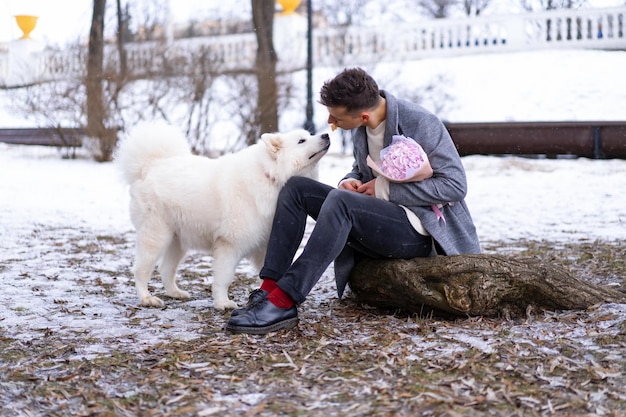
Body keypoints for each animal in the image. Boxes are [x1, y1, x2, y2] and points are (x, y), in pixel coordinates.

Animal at [117, 123, 332, 308]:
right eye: (302, 141)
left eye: (309, 135)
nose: (326, 135)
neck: (270, 176)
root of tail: (150, 165)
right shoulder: (230, 245)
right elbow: (224, 277)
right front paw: (222, 303)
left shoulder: (266, 243)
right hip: (157, 236)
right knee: (141, 270)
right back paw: (147, 298)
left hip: (177, 240)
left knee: (165, 269)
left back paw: (175, 293)